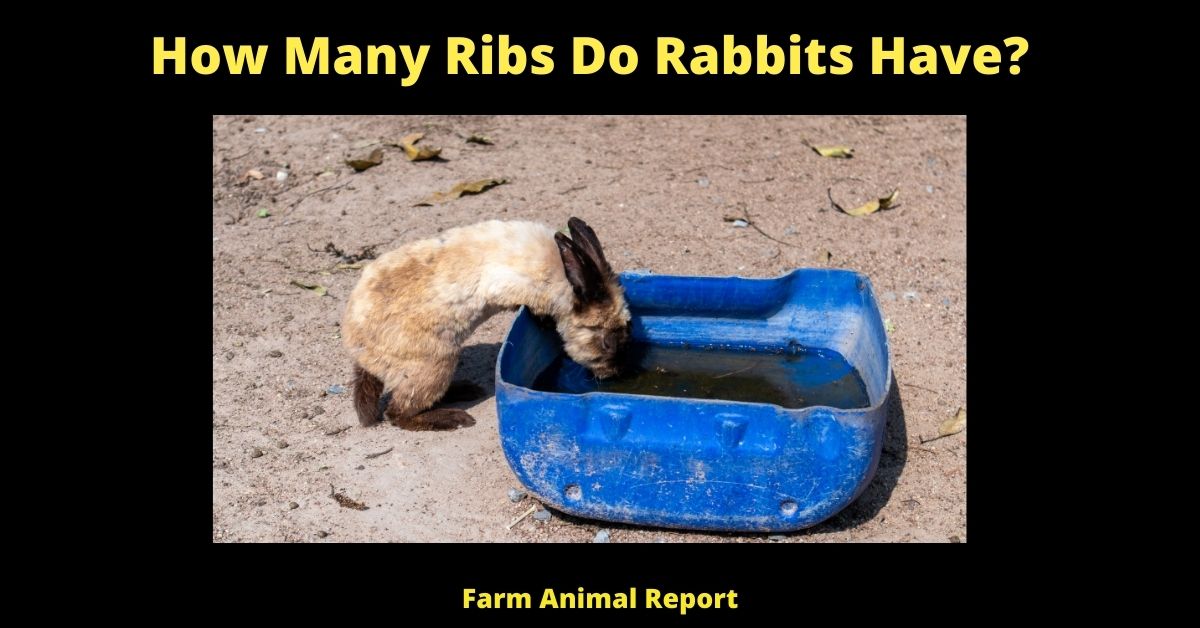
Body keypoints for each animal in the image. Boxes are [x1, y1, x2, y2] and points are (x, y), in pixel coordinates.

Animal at [342, 217, 632, 430]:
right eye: (608, 343)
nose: (615, 373)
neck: (560, 277)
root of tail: (359, 351)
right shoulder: (511, 287)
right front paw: (543, 322)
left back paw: (467, 390)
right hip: (436, 363)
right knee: (398, 412)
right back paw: (455, 418)